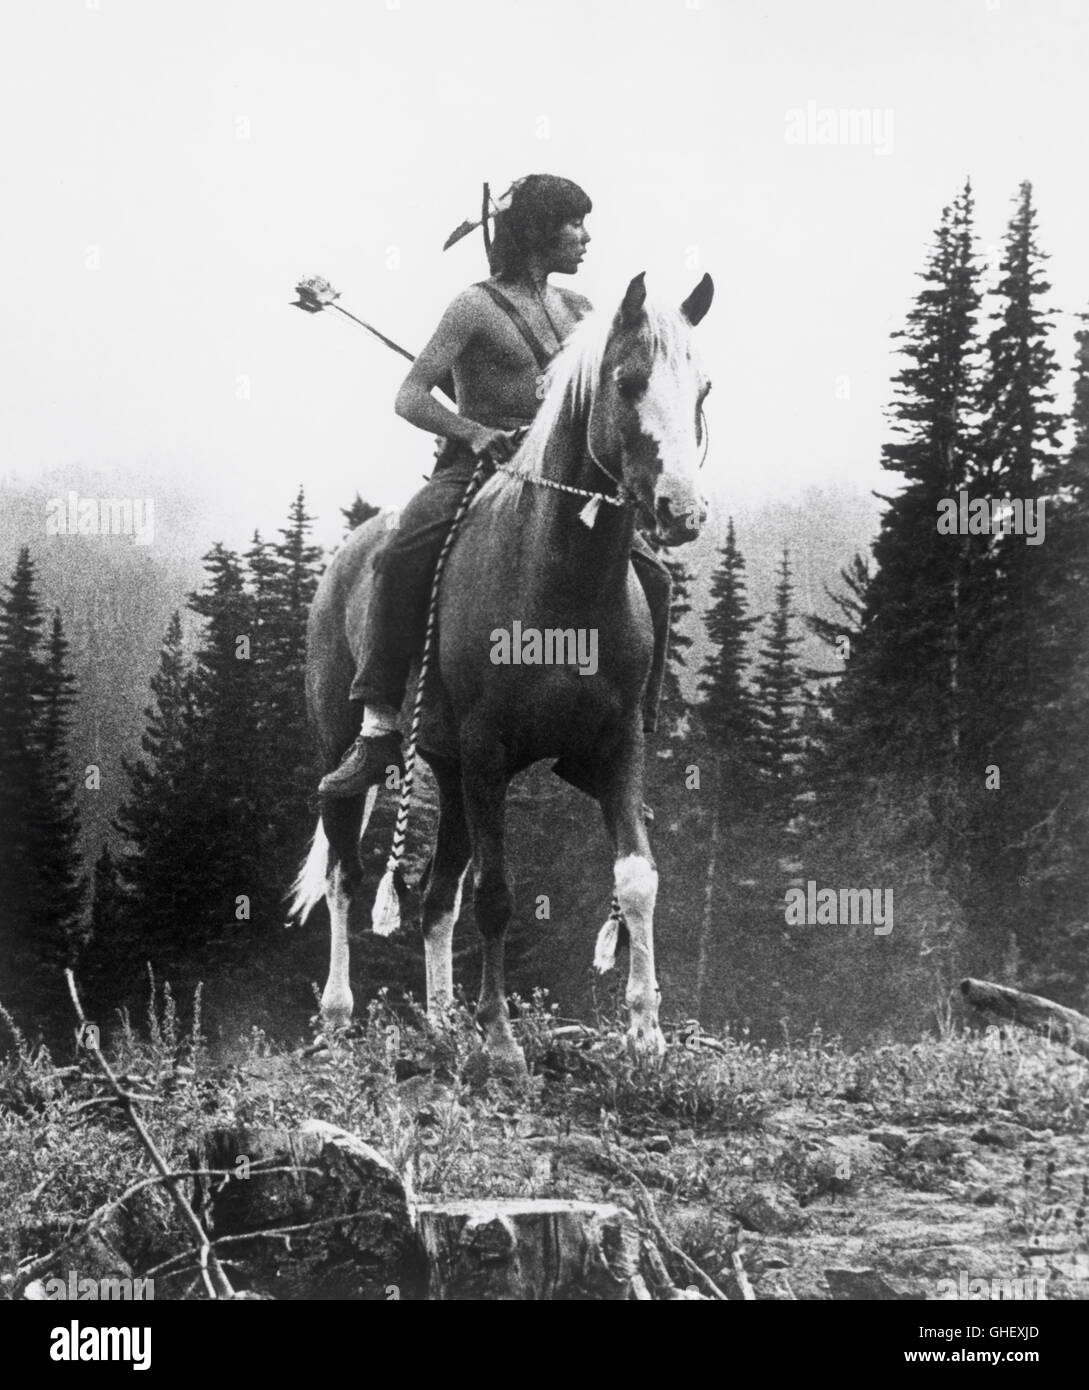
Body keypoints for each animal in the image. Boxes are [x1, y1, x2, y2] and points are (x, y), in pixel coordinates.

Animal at [292, 273, 717, 1073]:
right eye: (628, 382)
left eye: (703, 388)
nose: (682, 509)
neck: (560, 584)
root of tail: (347, 556)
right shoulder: (490, 750)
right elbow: (495, 895)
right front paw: (500, 1041)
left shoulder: (615, 749)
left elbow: (636, 879)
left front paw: (645, 1036)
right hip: (345, 746)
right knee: (343, 876)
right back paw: (337, 1020)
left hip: (451, 770)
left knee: (436, 898)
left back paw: (441, 1024)